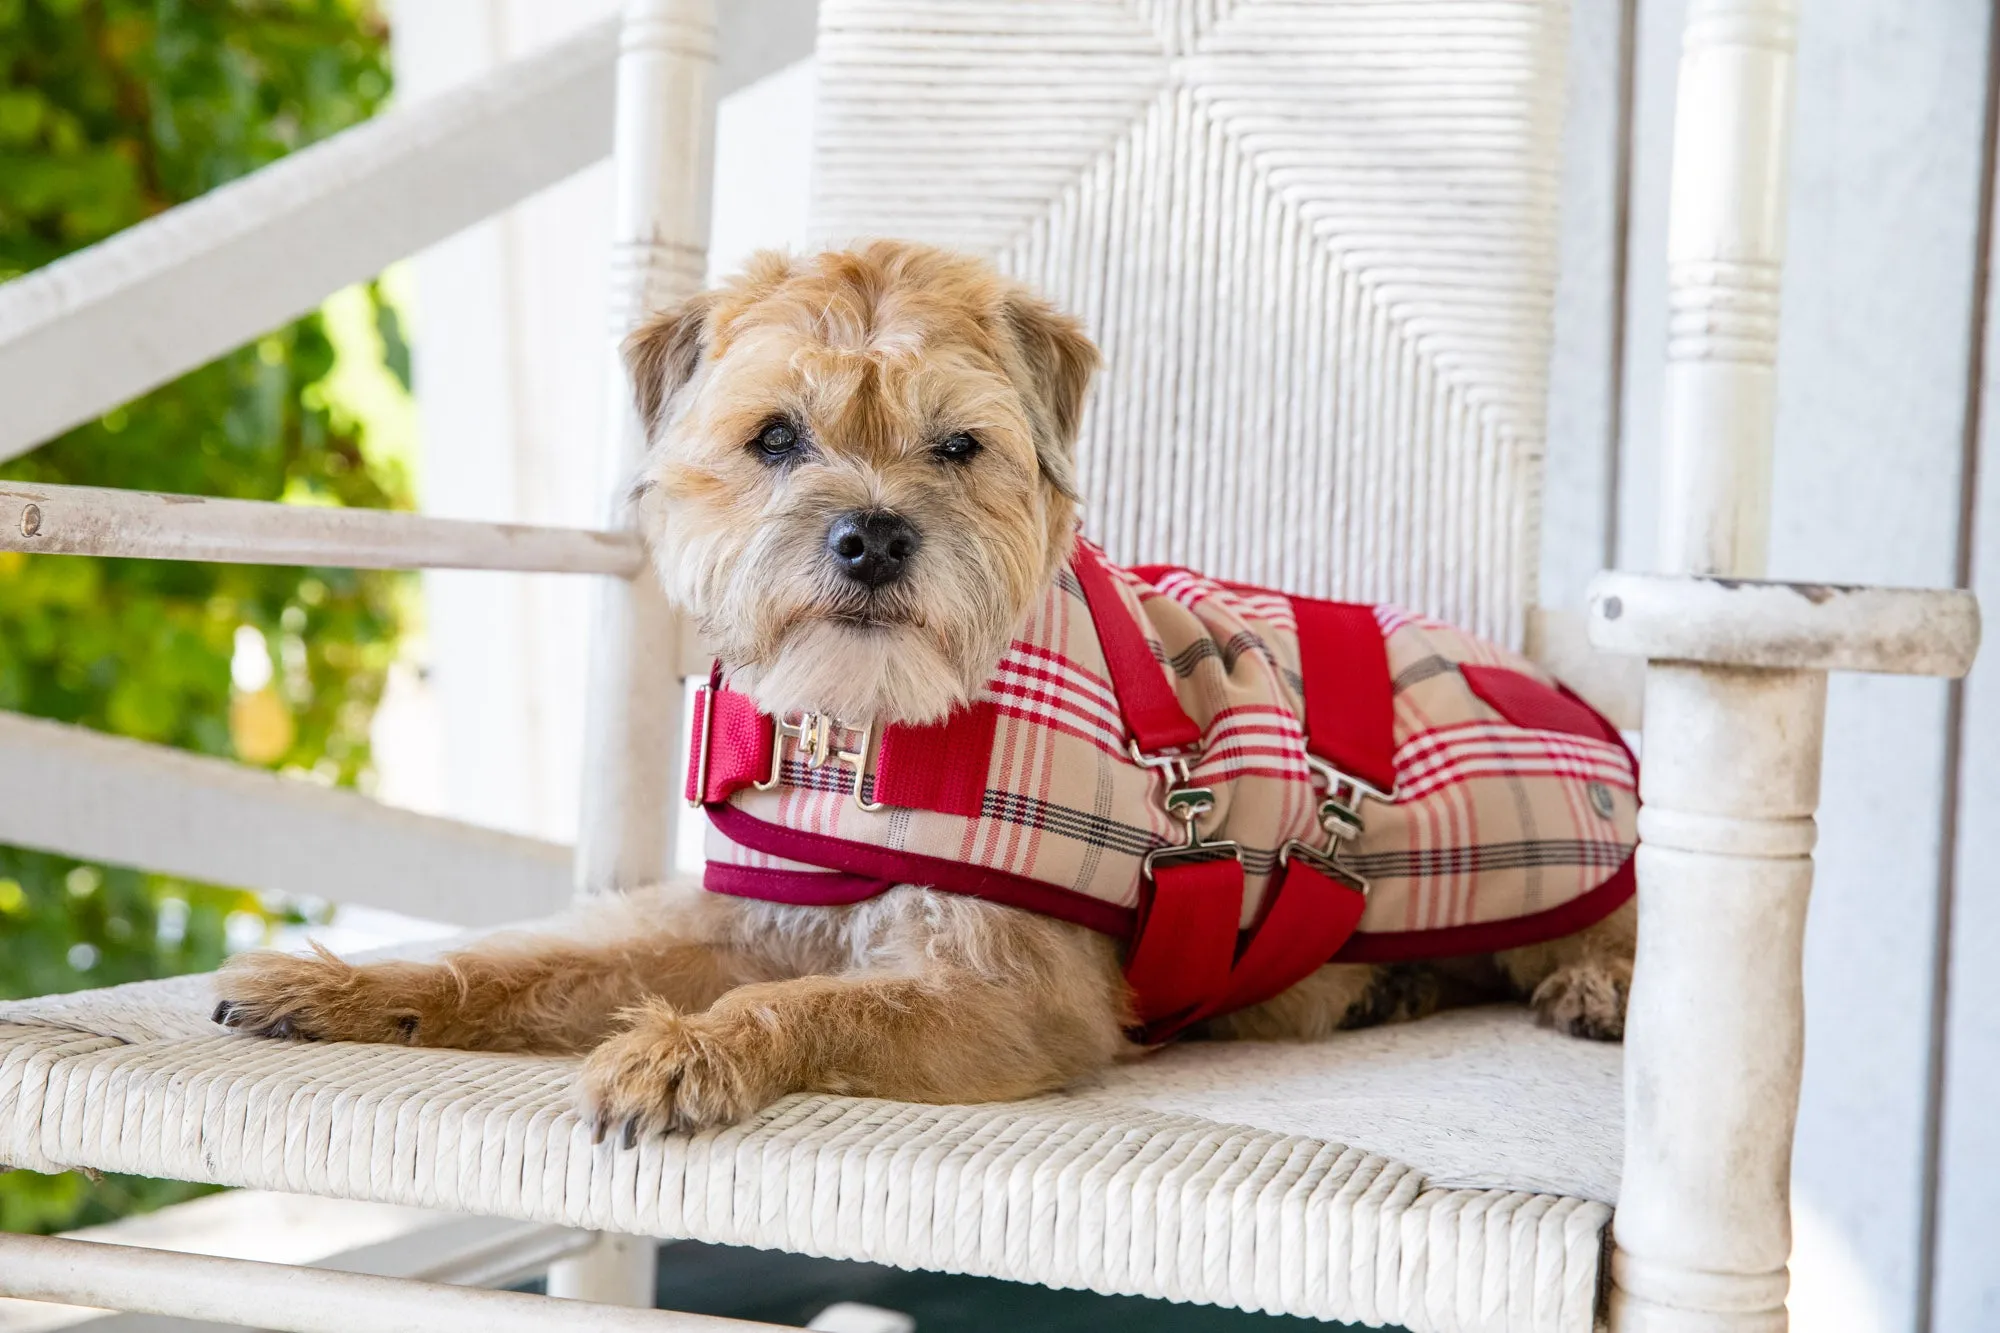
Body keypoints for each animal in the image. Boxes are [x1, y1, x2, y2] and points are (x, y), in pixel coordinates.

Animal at [211, 241, 1632, 1144]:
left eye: (957, 445)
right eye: (773, 437)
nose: (872, 536)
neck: (854, 732)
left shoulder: (1007, 1000)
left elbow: (808, 1001)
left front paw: (688, 1049)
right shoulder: (735, 918)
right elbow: (524, 963)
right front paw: (343, 991)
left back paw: (1594, 983)